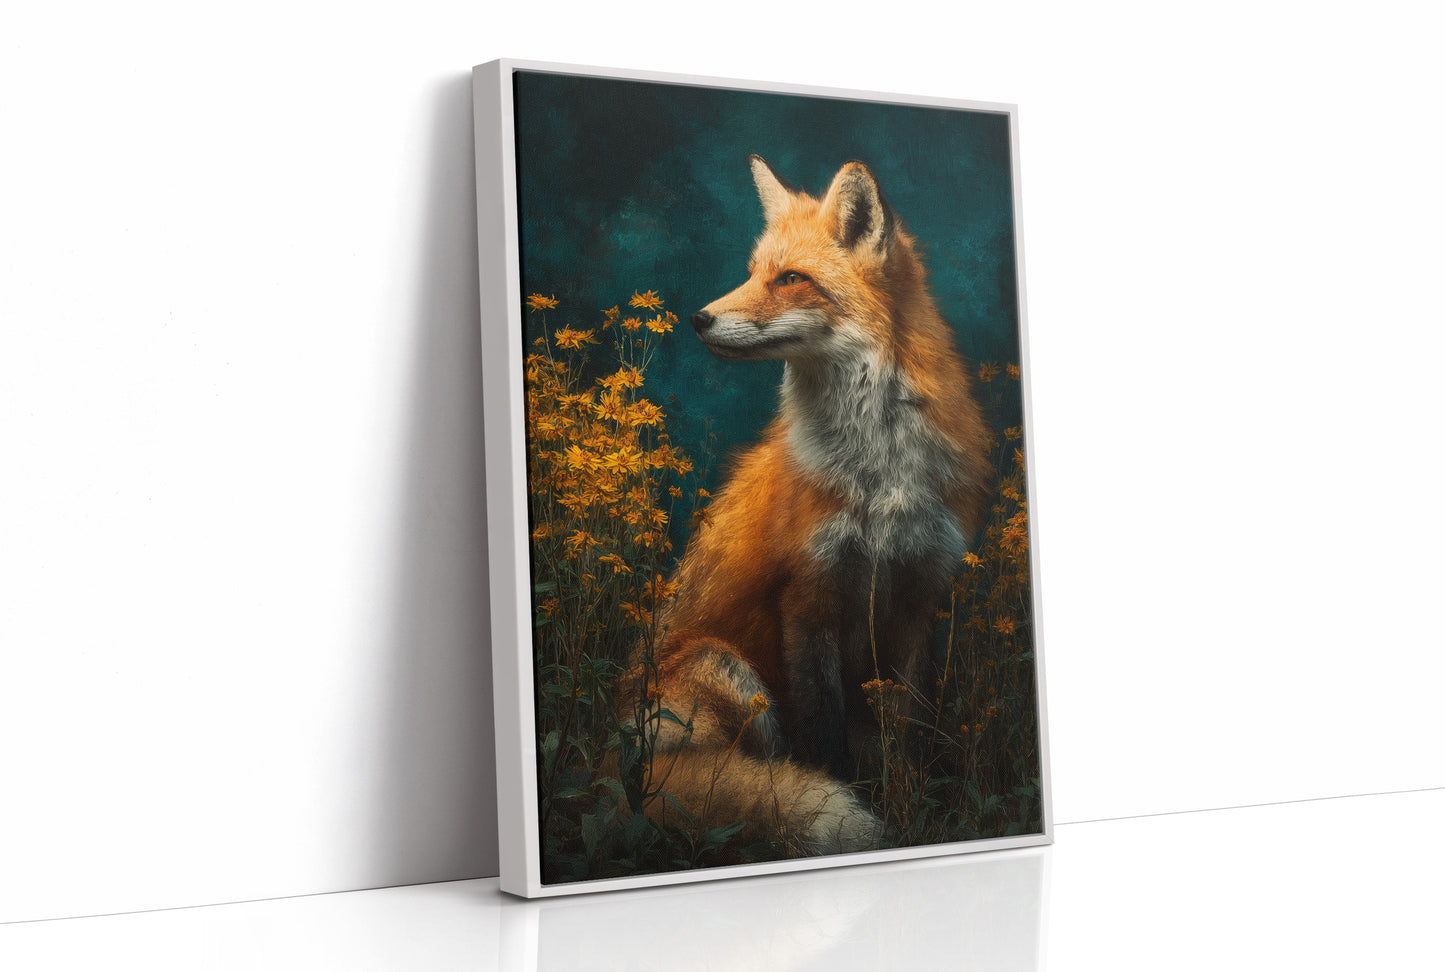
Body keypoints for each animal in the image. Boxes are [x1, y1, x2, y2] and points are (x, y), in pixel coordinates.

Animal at [620, 156, 993, 856]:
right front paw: (857, 808)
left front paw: (908, 809)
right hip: (728, 671)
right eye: (751, 271)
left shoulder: (918, 594)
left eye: (791, 279)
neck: (879, 475)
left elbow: (909, 729)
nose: (698, 318)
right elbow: (823, 739)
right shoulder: (808, 593)